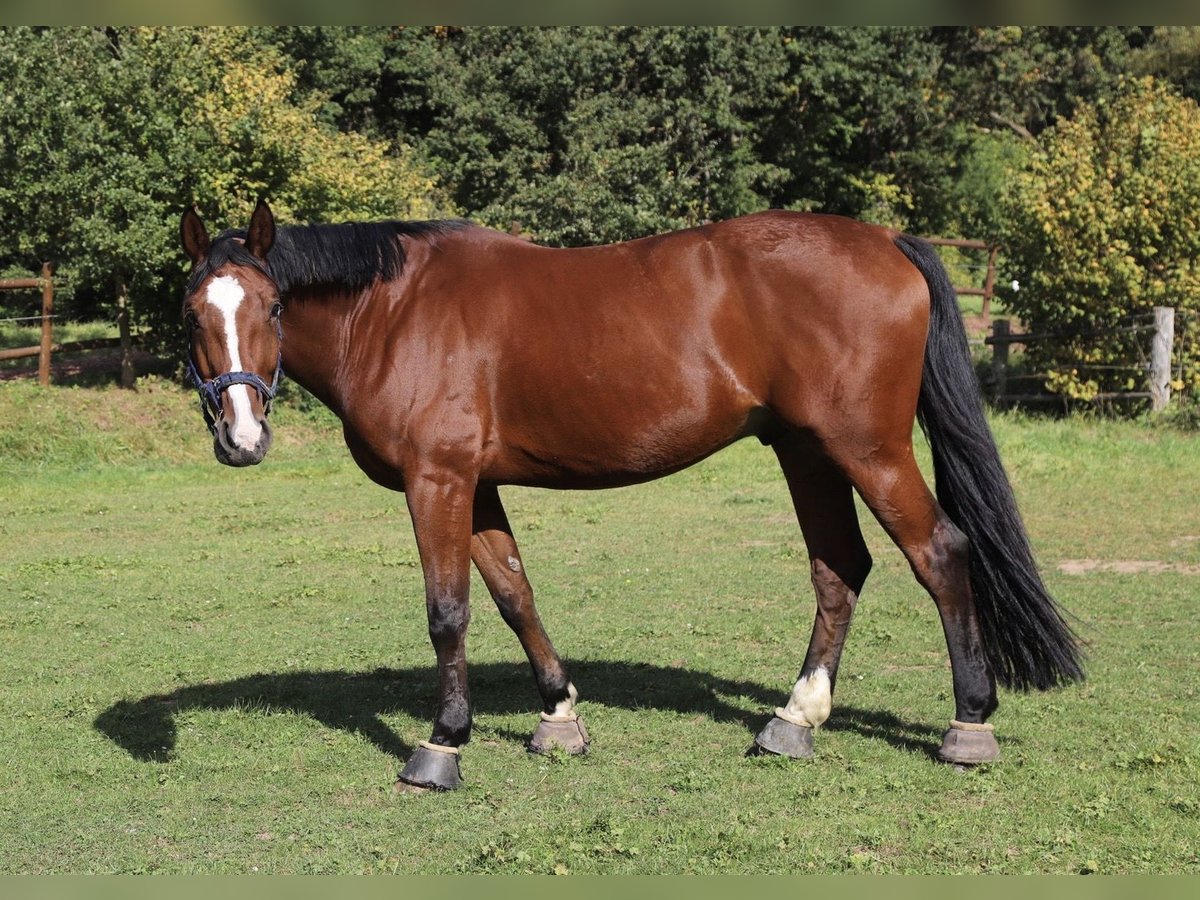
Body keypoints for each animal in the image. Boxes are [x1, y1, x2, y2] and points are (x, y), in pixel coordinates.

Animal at [180, 200, 1089, 792]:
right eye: (192, 311)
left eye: (272, 304)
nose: (240, 437)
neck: (395, 310)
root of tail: (888, 242)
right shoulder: (476, 485)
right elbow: (513, 593)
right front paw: (558, 717)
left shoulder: (437, 480)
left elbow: (449, 612)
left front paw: (442, 746)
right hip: (808, 451)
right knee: (840, 569)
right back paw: (793, 720)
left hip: (868, 451)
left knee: (938, 553)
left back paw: (969, 725)